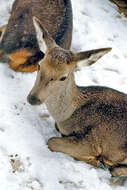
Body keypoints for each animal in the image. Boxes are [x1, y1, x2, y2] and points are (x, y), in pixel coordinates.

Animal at [27, 17, 127, 185]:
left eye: (63, 77)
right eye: (39, 65)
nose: (33, 98)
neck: (68, 116)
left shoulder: (93, 141)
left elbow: (51, 141)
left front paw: (97, 160)